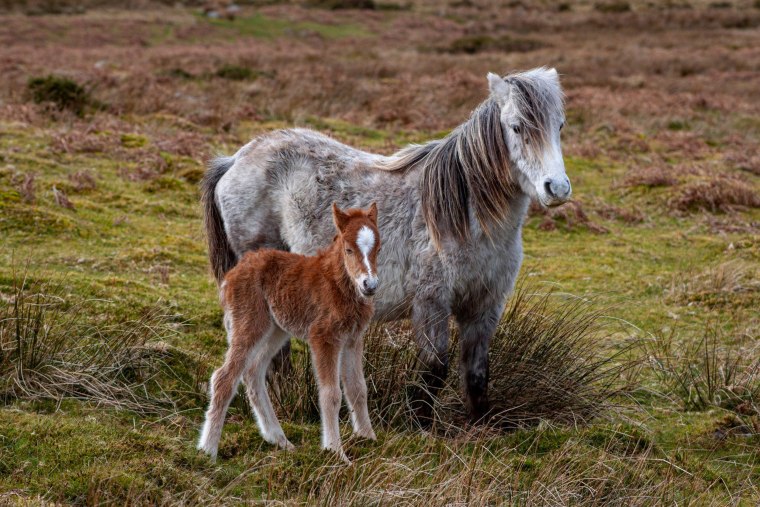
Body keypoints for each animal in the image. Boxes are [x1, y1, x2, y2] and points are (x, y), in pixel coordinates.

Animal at [202, 68, 568, 424]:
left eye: (560, 125)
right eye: (517, 127)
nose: (558, 188)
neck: (463, 217)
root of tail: (236, 159)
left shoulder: (485, 306)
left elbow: (477, 375)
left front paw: (480, 426)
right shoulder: (431, 303)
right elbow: (435, 369)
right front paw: (420, 424)